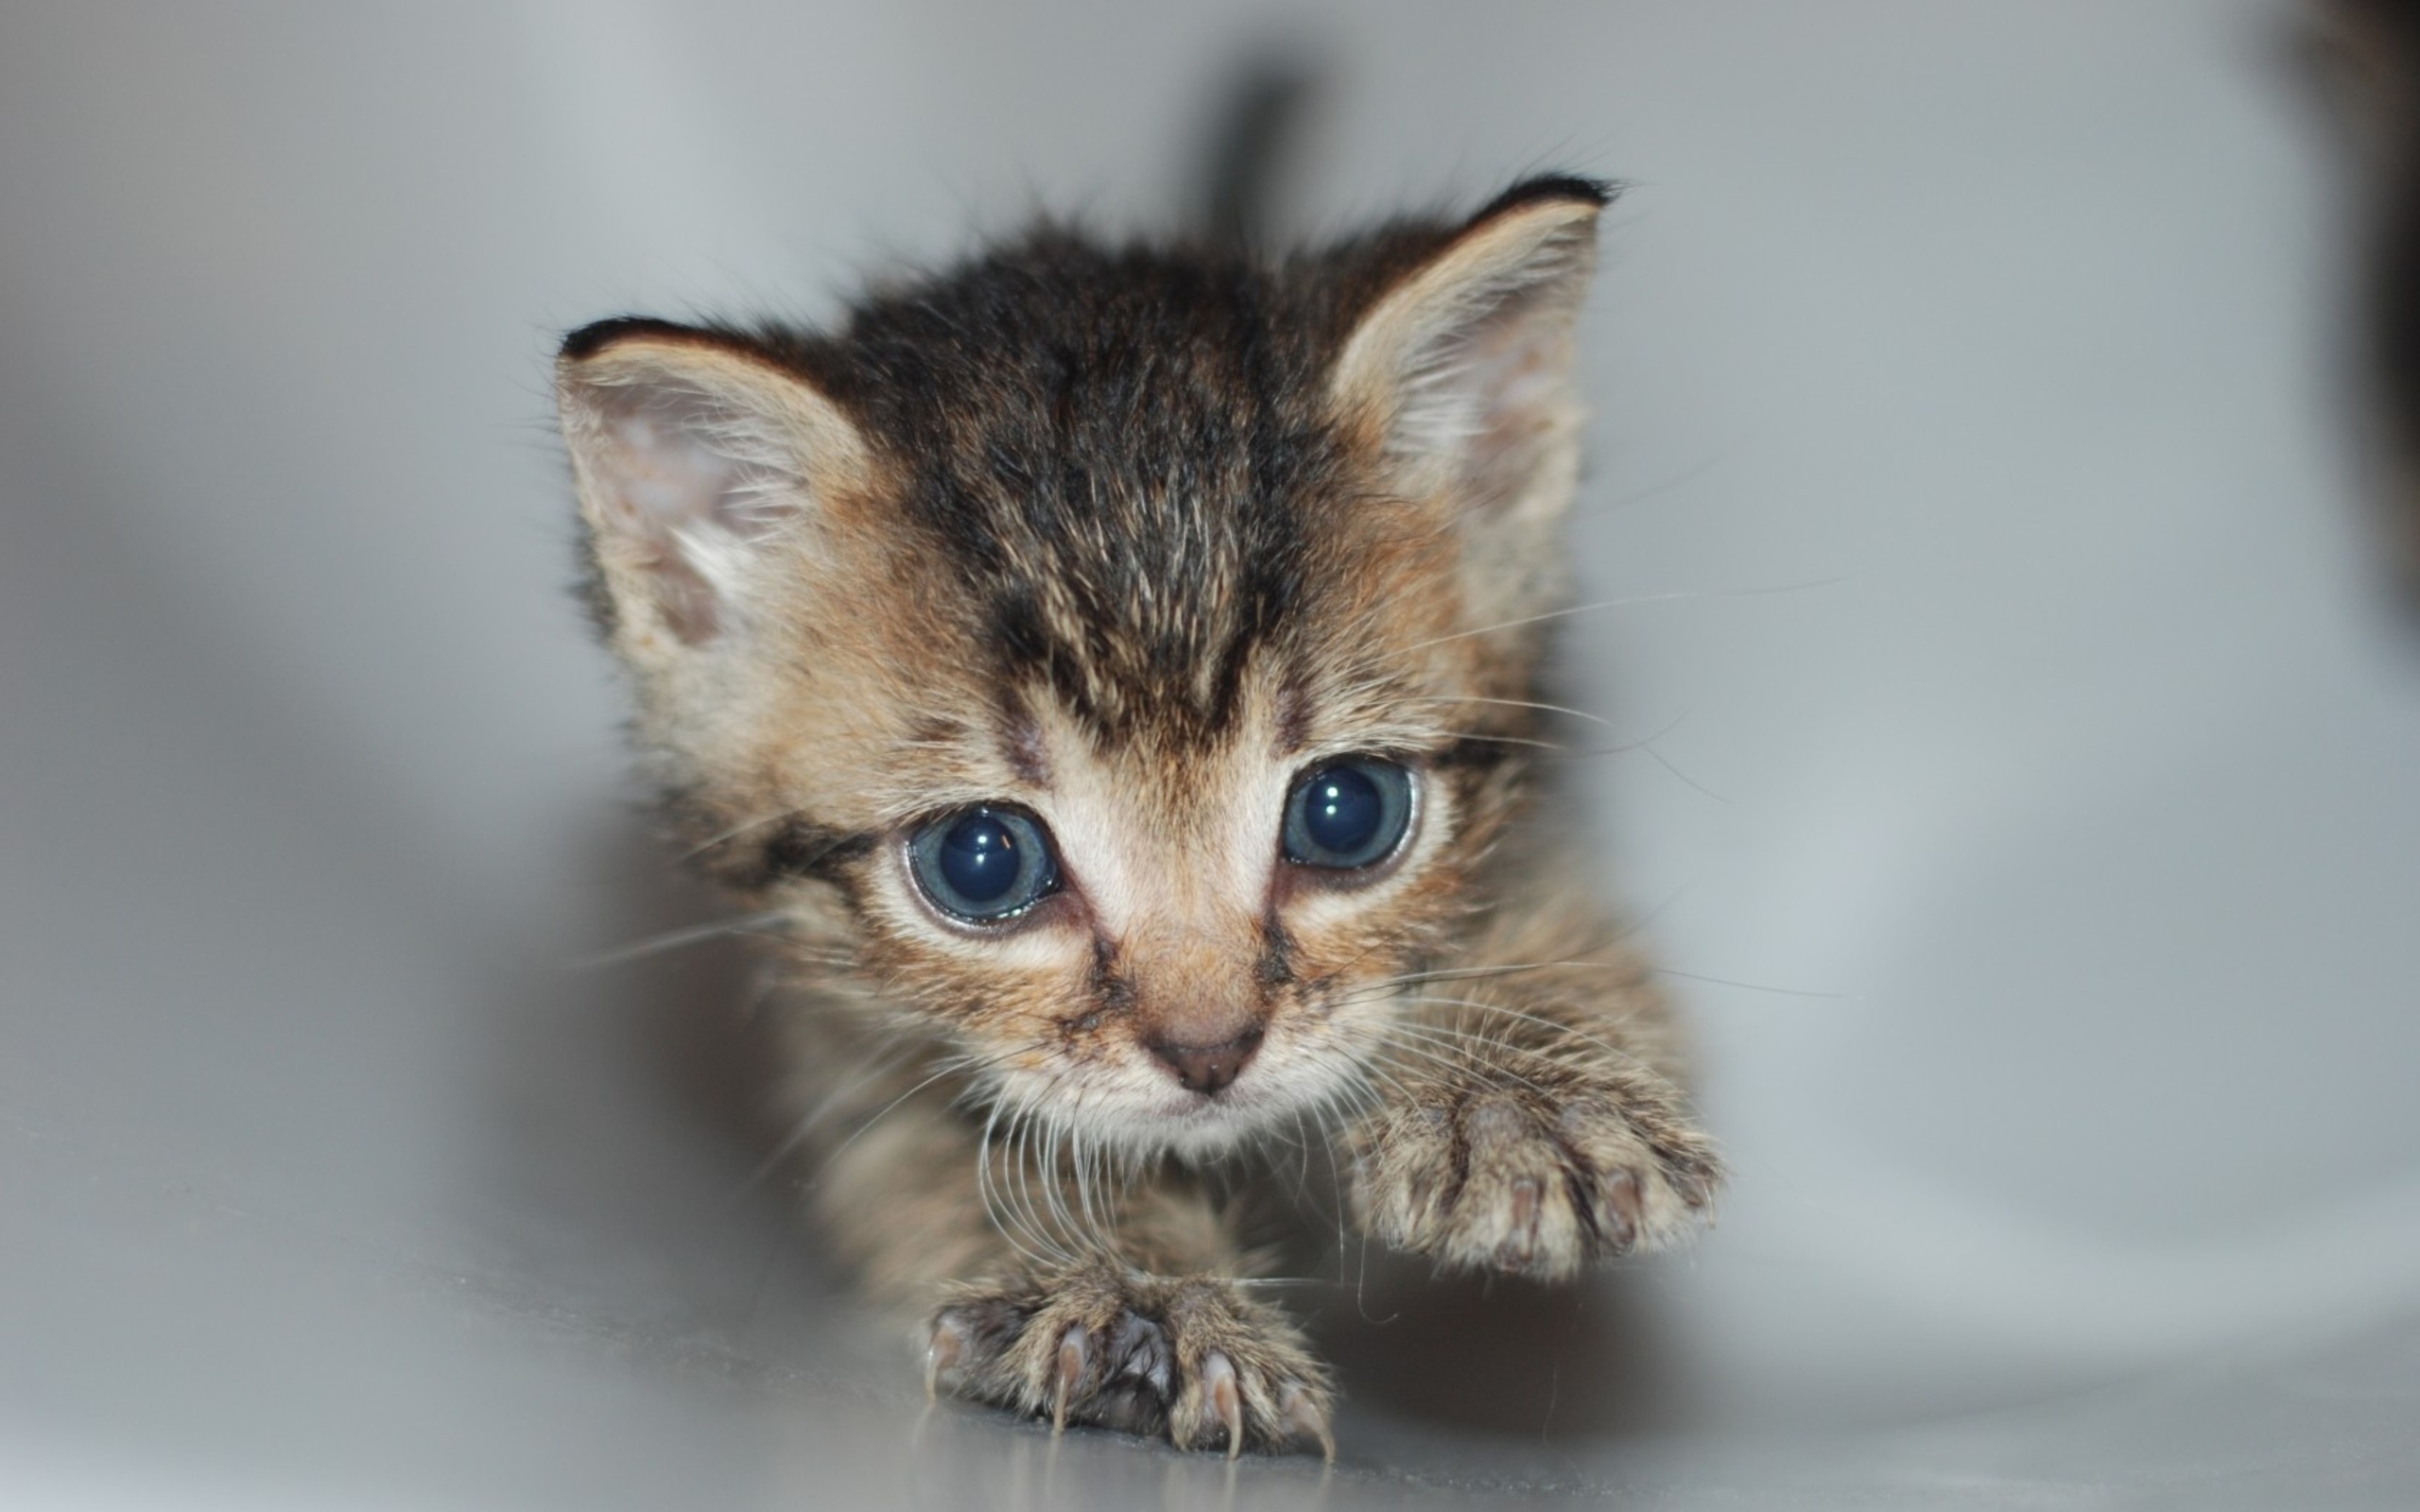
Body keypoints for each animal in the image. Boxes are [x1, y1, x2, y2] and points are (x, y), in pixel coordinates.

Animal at [554, 174, 1722, 1452]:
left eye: (1347, 811)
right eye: (980, 860)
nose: (1209, 1050)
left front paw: (1519, 1101)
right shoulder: (845, 1053)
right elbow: (941, 1151)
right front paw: (1133, 1289)